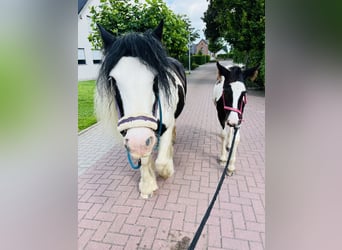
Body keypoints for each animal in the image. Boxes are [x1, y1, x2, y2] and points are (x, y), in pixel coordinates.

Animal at [95, 20, 187, 198]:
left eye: (157, 78)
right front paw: (148, 184)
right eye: (112, 80)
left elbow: (162, 163)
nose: (138, 140)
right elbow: (144, 158)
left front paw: (168, 168)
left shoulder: (165, 127)